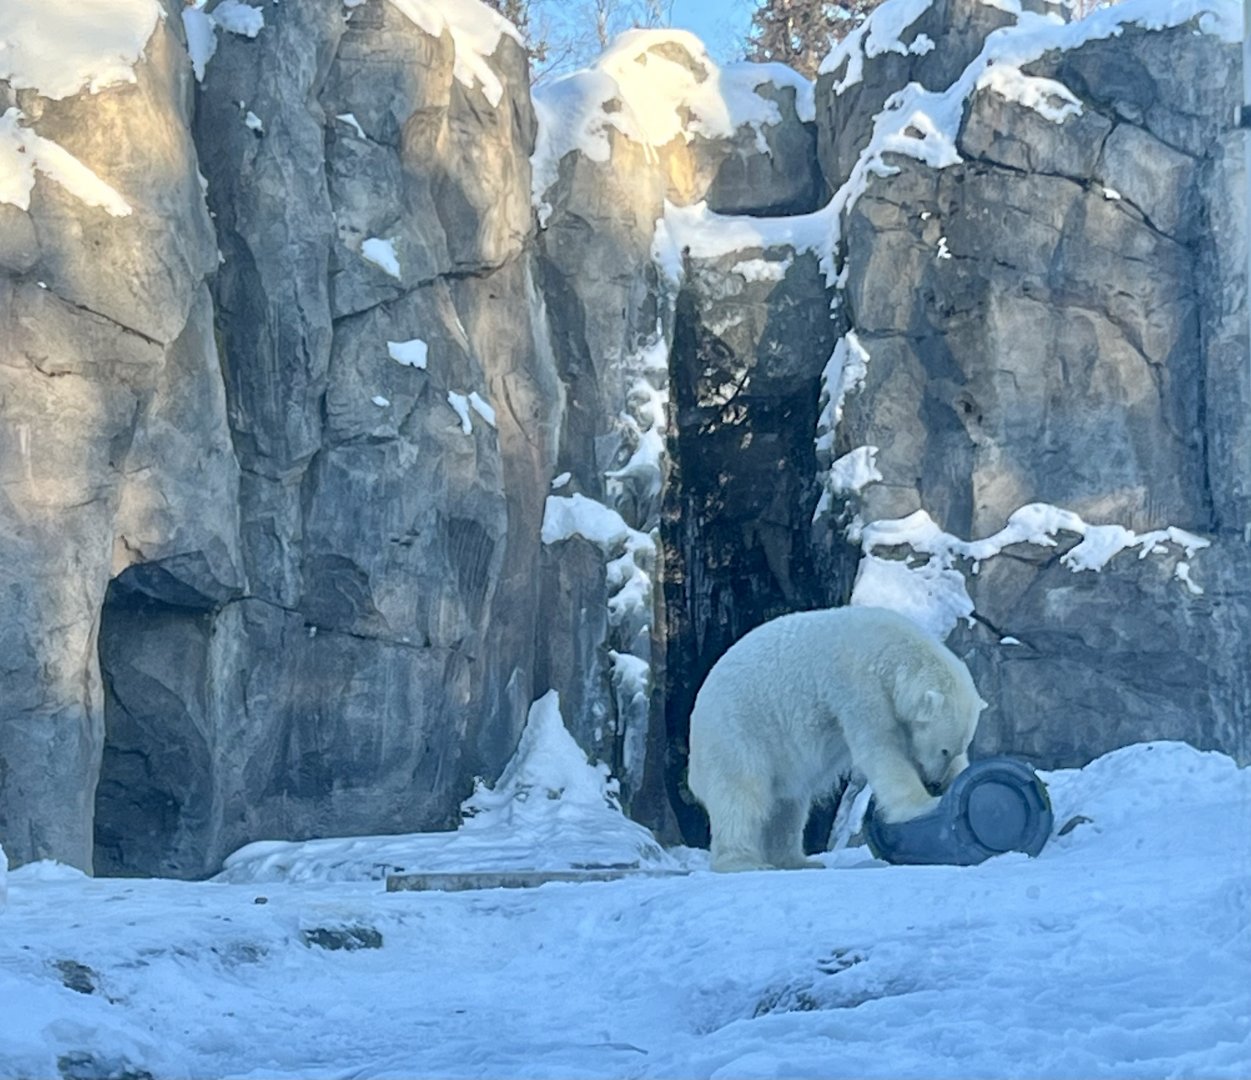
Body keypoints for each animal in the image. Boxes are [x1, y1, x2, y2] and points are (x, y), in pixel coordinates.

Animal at [687, 606, 986, 872]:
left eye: (956, 749)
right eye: (944, 750)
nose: (934, 782)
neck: (888, 651)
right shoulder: (857, 687)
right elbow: (882, 750)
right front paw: (924, 804)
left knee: (789, 805)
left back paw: (799, 861)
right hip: (738, 733)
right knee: (741, 794)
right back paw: (743, 862)